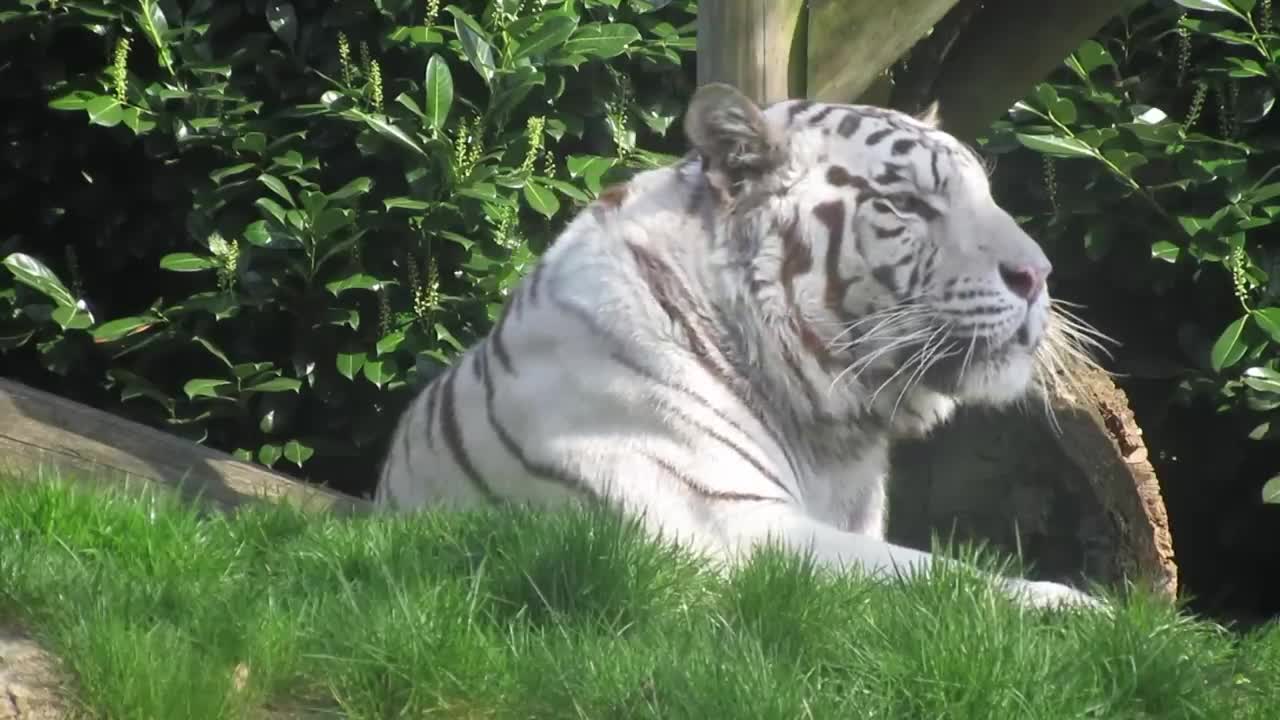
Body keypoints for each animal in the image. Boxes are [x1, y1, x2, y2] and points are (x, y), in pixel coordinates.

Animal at [373, 81, 1111, 607]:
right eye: (906, 205)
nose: (1038, 274)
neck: (835, 431)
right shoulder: (731, 530)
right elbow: (942, 578)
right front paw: (1092, 613)